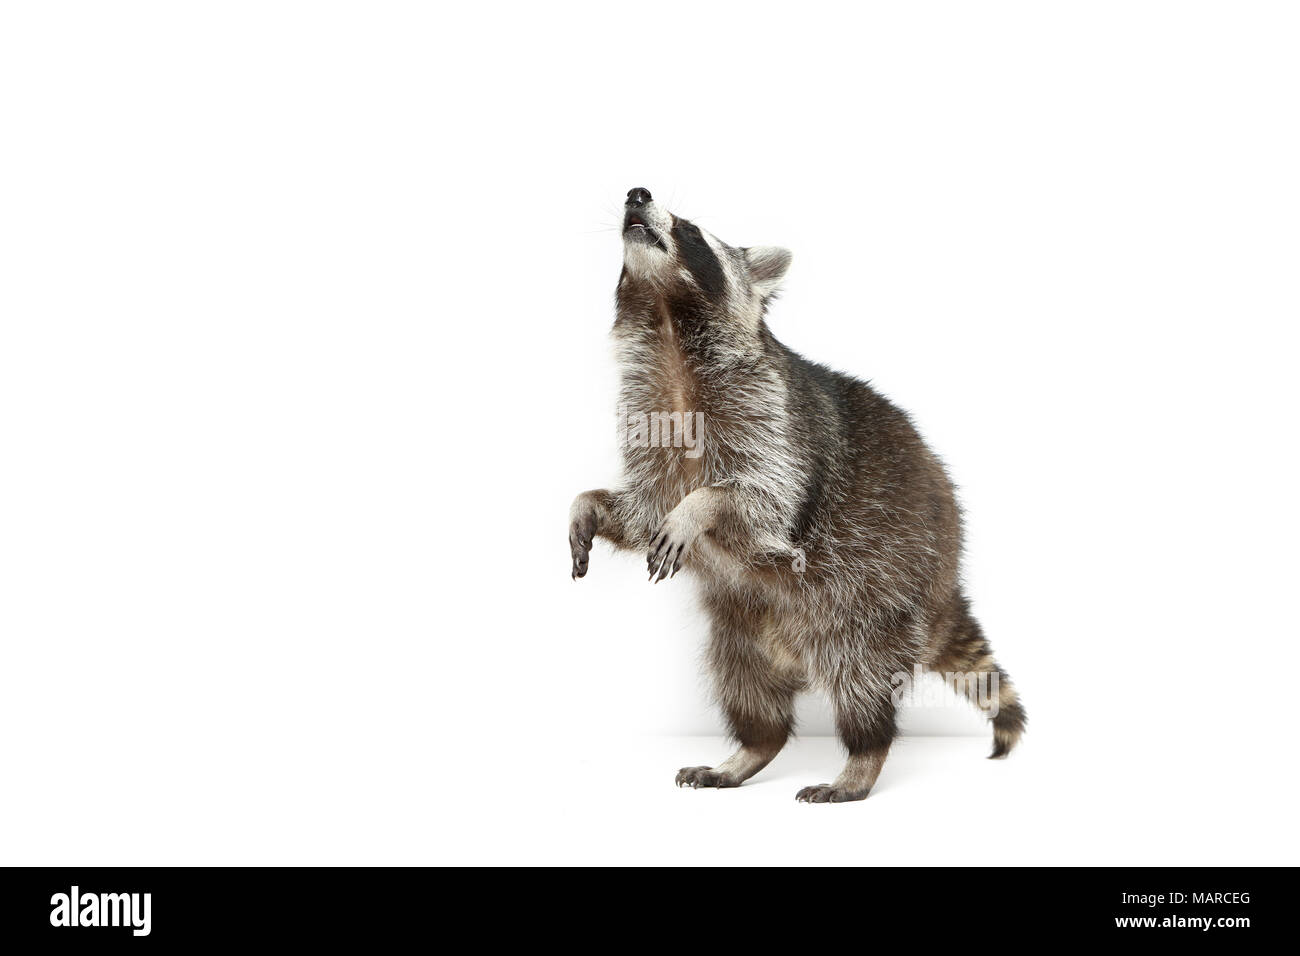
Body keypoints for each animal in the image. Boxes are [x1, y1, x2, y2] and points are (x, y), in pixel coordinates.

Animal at [569, 187, 1025, 803]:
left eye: (689, 228)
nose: (636, 194)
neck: (666, 322)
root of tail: (944, 580)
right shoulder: (648, 418)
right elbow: (643, 511)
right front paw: (590, 504)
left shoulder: (775, 420)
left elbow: (764, 500)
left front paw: (701, 506)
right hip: (741, 630)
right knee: (749, 691)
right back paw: (751, 749)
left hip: (877, 596)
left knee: (861, 683)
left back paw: (862, 759)